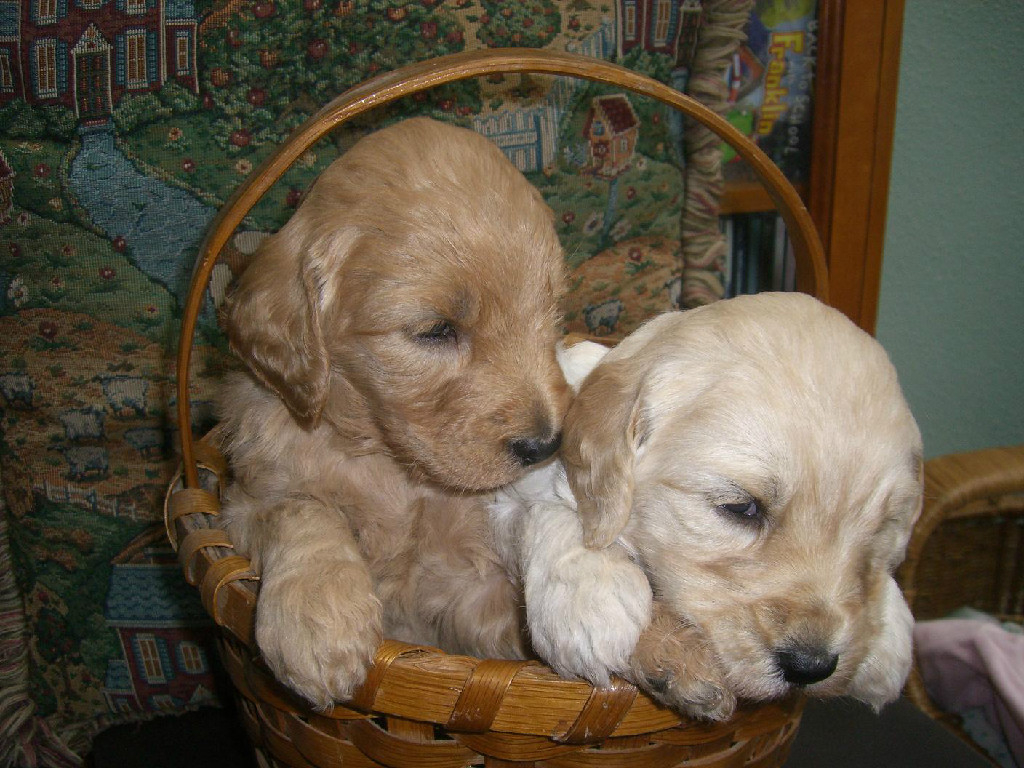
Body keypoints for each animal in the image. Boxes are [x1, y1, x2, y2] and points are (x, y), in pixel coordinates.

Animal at [218, 117, 569, 712]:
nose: (545, 445)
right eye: (435, 330)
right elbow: (302, 508)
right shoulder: (247, 498)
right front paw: (317, 619)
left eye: (551, 315)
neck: (392, 465)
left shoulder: (473, 591)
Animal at [491, 294, 925, 720]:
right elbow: (549, 509)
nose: (811, 666)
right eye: (741, 507)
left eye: (881, 528)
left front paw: (891, 637)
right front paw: (591, 596)